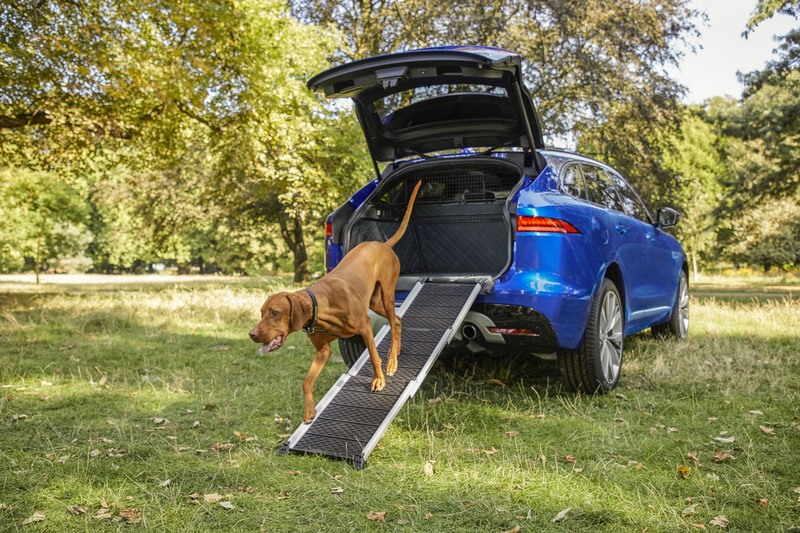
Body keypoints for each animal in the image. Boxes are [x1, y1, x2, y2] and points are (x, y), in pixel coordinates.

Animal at [250, 181, 424, 422]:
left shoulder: (365, 328)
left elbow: (373, 357)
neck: (321, 308)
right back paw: (395, 355)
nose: (252, 334)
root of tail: (383, 245)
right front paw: (309, 410)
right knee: (397, 320)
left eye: (274, 312)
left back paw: (390, 362)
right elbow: (306, 382)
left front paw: (378, 380)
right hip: (374, 302)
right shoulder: (322, 351)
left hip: (387, 295)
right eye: (261, 312)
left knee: (392, 321)